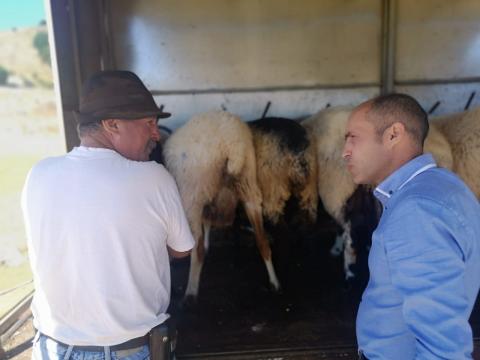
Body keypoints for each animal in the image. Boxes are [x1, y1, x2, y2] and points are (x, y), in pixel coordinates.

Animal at [162, 111, 282, 300]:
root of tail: (232, 145)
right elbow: (208, 220)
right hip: (247, 183)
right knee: (262, 240)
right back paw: (274, 282)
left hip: (192, 194)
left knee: (196, 251)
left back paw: (191, 293)